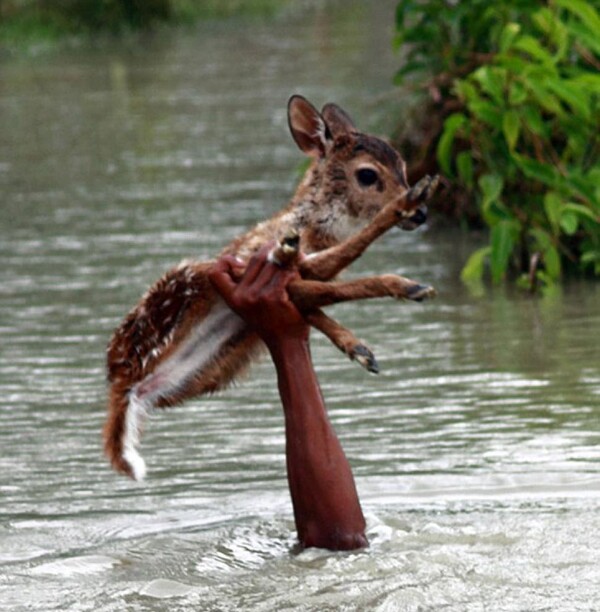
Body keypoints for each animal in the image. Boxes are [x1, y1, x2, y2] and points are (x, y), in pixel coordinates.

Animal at [105, 95, 438, 480]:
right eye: (368, 174)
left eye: (402, 164)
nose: (421, 214)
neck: (312, 229)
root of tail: (124, 384)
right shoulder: (259, 262)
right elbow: (333, 277)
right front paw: (406, 280)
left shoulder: (294, 282)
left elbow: (321, 297)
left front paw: (359, 348)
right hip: (185, 282)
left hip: (217, 366)